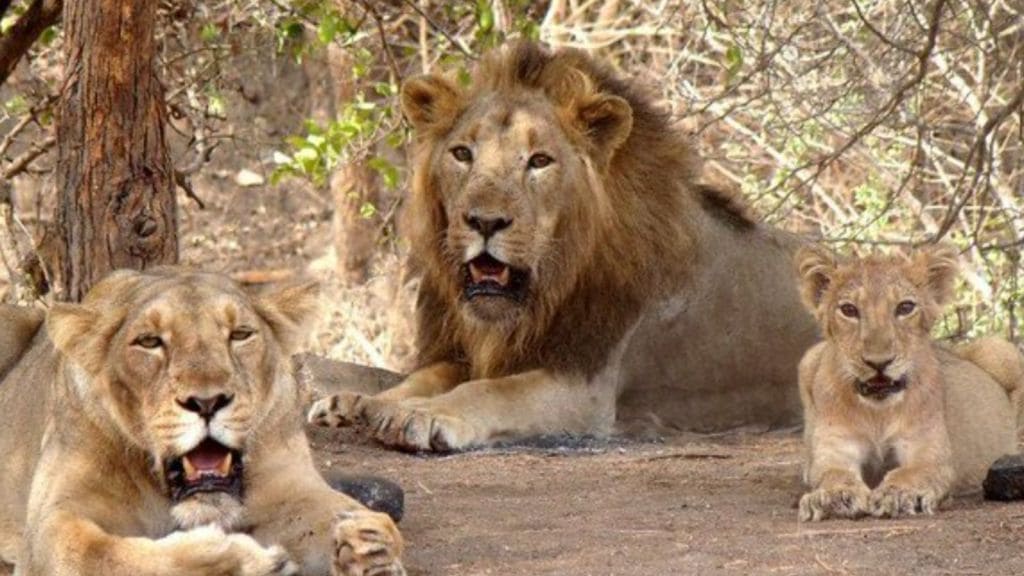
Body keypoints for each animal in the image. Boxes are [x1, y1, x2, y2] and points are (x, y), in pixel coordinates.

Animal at [0, 269, 405, 575]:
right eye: (149, 342)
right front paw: (246, 561)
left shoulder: (291, 487)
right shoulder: (50, 525)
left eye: (240, 334)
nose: (207, 401)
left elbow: (337, 514)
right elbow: (98, 555)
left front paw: (370, 545)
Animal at [308, 42, 819, 451]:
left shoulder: (584, 386)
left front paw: (421, 414)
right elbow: (422, 377)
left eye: (539, 161)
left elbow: (492, 392)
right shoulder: (466, 351)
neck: (544, 292)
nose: (484, 221)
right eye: (462, 153)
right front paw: (359, 402)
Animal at [795, 244, 1024, 521]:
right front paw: (833, 496)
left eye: (905, 307)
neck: (878, 413)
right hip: (809, 358)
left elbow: (910, 472)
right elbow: (833, 473)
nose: (879, 362)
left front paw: (900, 494)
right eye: (849, 310)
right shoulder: (835, 449)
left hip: (1001, 349)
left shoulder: (929, 454)